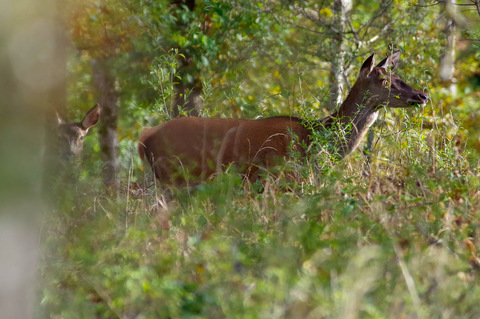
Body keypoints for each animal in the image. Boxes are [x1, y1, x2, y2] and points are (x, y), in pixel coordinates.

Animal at [138, 51, 428, 186]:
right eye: (383, 80)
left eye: (397, 75)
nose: (422, 95)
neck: (317, 141)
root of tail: (145, 139)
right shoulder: (283, 178)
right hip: (172, 177)